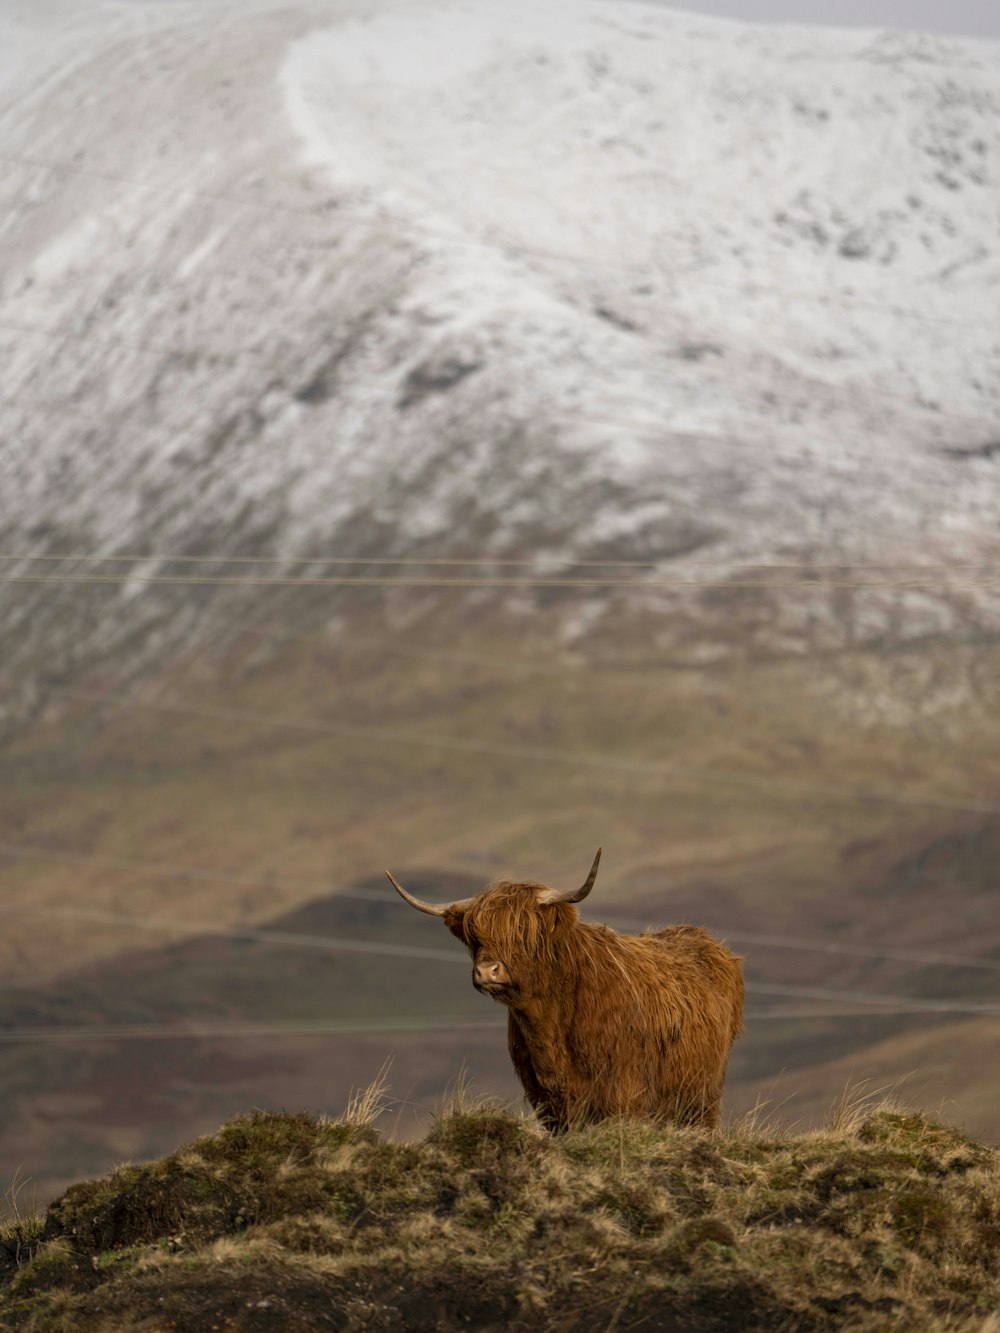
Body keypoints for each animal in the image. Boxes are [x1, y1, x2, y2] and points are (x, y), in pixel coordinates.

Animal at [386, 847, 746, 1130]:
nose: (487, 971)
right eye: (475, 935)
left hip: (703, 1098)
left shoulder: (623, 1096)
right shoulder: (549, 1104)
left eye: (524, 929)